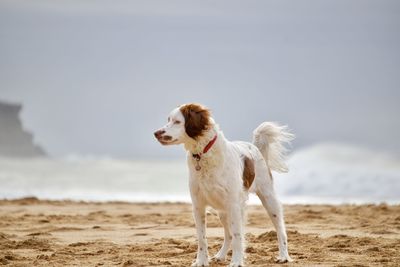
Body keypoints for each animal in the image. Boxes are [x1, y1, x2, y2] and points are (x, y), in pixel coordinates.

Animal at [153, 103, 294, 266]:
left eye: (177, 122)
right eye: (168, 120)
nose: (156, 133)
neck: (203, 153)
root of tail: (254, 147)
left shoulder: (233, 204)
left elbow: (238, 235)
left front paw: (237, 261)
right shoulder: (198, 205)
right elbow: (202, 238)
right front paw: (201, 261)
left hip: (268, 199)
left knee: (280, 230)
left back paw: (284, 256)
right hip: (222, 211)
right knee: (229, 235)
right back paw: (220, 255)